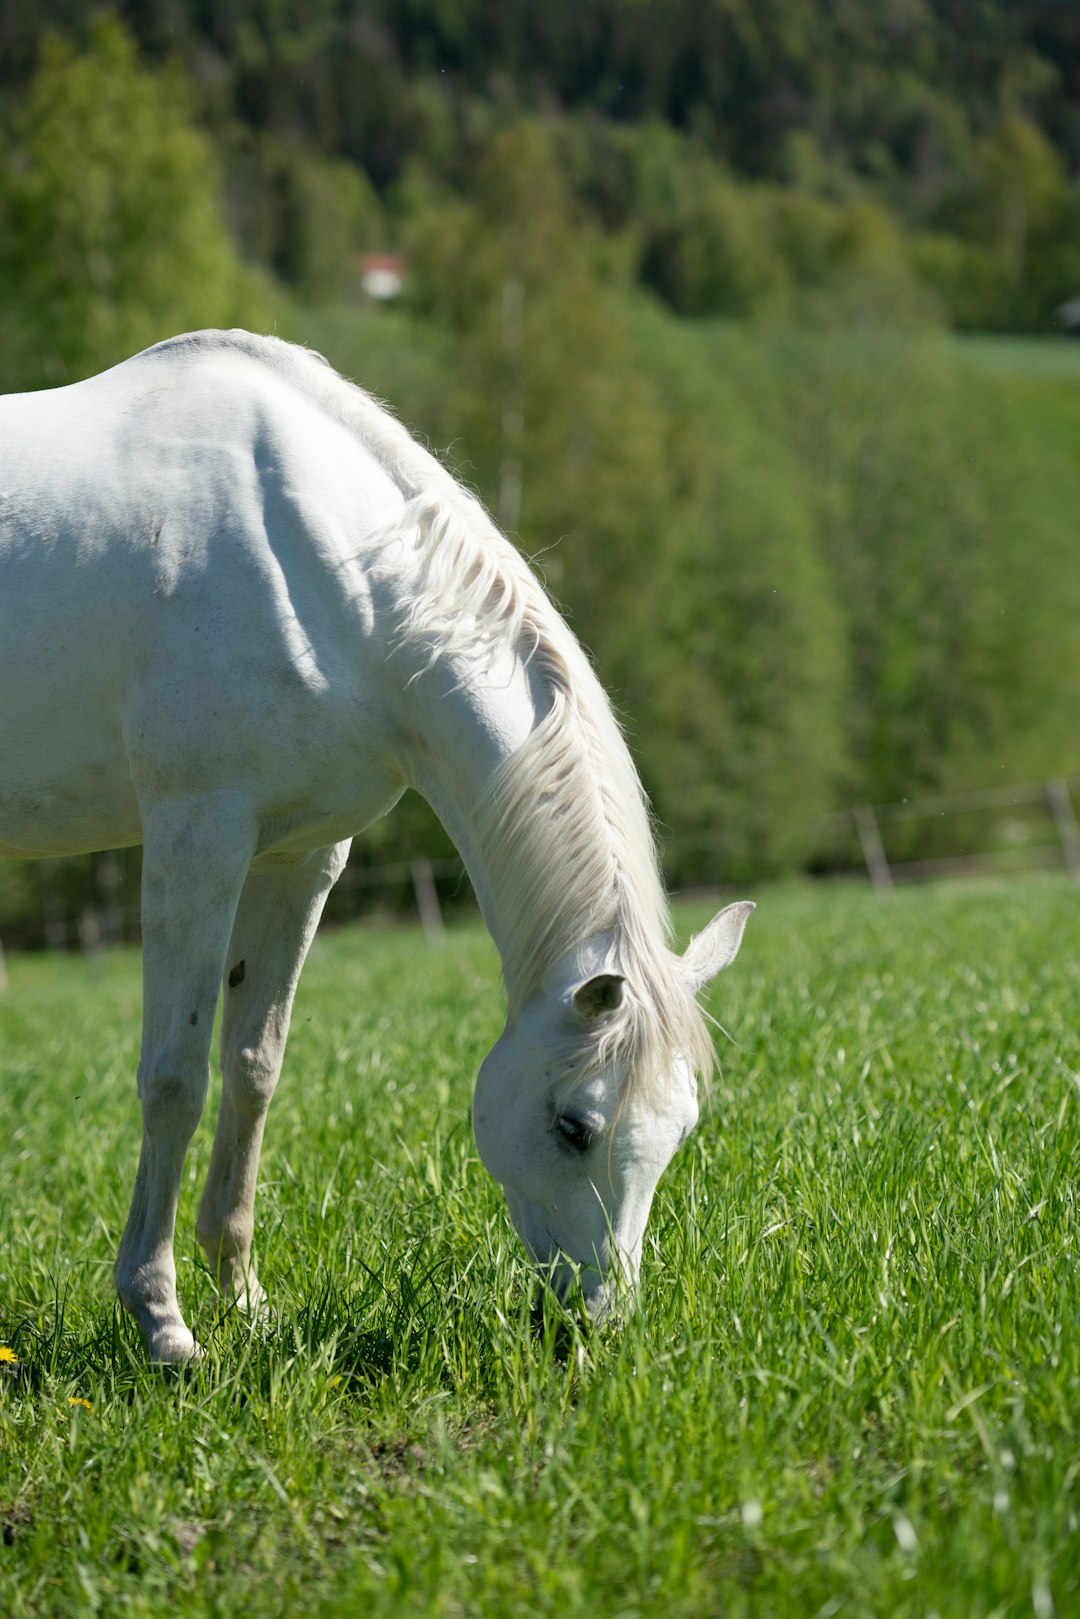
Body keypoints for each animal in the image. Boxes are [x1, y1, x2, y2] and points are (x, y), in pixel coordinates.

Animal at [0, 331, 757, 1366]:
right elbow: (175, 1078)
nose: (595, 1326)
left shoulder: (302, 856)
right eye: (574, 1125)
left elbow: (252, 1068)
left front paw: (243, 1297)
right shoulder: (198, 835)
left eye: (678, 1130)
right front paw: (162, 1320)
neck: (325, 577)